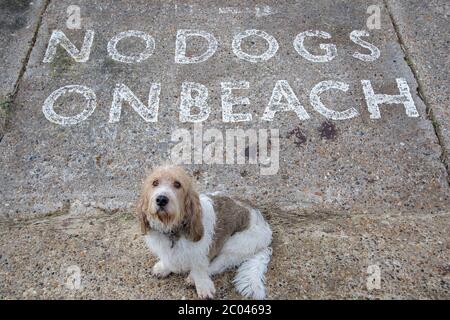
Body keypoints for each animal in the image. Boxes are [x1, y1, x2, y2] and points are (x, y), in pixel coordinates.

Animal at [135, 165, 272, 300]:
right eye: (155, 183)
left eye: (177, 184)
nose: (161, 199)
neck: (173, 230)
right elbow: (168, 260)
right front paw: (164, 267)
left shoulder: (202, 253)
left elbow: (200, 269)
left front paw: (203, 287)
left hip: (235, 245)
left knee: (220, 263)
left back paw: (192, 278)